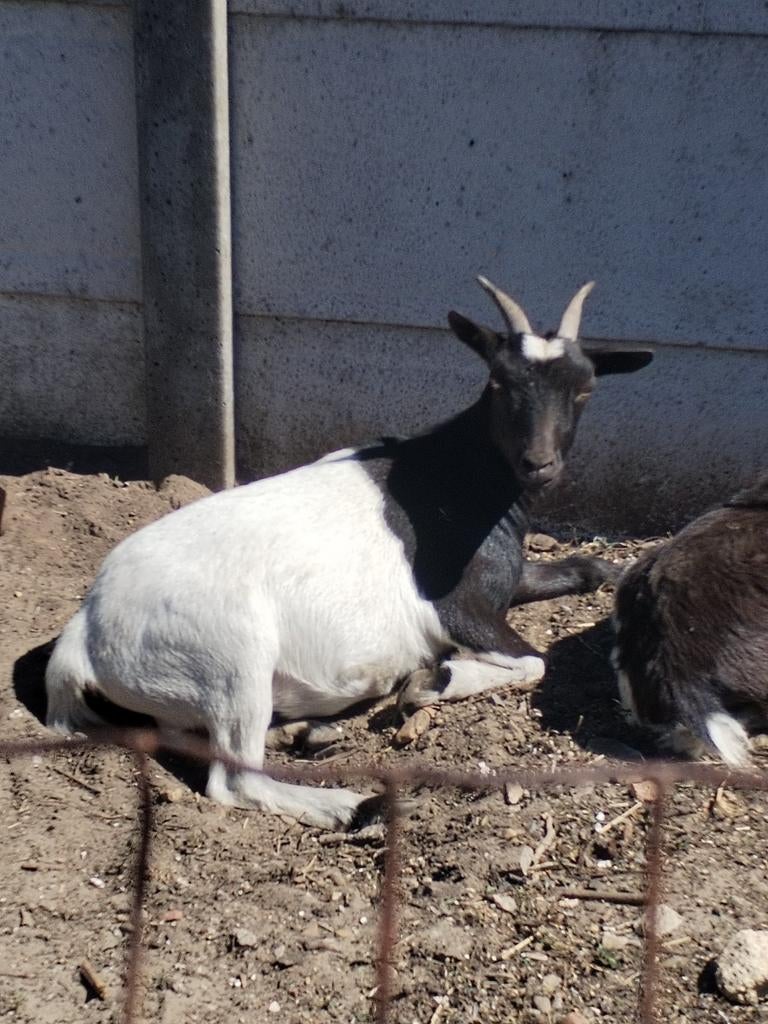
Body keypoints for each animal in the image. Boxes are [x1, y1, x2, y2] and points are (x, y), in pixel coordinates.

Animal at [46, 277, 653, 828]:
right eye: (499, 381)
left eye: (584, 387)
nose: (539, 464)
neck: (454, 476)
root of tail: (85, 631)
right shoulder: (455, 606)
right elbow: (532, 661)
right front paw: (433, 681)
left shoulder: (502, 578)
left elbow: (578, 570)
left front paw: (612, 569)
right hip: (231, 657)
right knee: (235, 779)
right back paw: (356, 805)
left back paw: (306, 732)